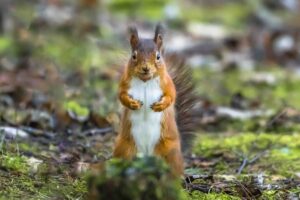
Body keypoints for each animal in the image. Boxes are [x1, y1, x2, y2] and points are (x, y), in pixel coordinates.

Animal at [113, 24, 197, 176]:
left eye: (158, 56)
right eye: (134, 56)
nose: (145, 68)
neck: (145, 81)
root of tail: (146, 157)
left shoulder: (168, 84)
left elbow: (171, 96)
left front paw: (160, 106)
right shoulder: (124, 84)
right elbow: (121, 96)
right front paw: (132, 103)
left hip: (171, 152)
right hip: (124, 148)